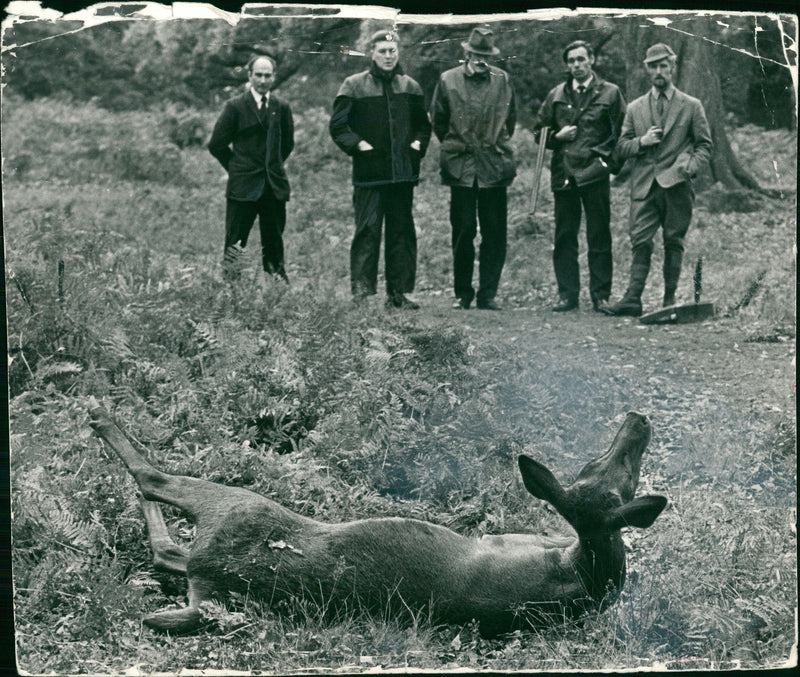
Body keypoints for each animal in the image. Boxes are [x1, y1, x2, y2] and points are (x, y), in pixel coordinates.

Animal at [87, 398, 664, 632]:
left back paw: (100, 417)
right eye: (598, 462)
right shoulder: (518, 537)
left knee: (155, 491)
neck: (583, 569)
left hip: (239, 509)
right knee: (170, 547)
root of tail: (215, 582)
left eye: (612, 471)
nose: (637, 419)